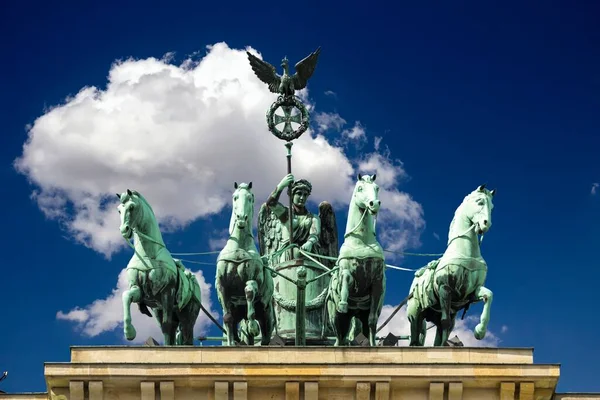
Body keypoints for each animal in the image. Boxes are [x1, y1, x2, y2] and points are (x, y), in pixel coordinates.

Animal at [116, 189, 202, 346]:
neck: (148, 255)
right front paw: (129, 332)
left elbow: (167, 326)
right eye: (119, 210)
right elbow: (126, 296)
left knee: (185, 334)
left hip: (187, 316)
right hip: (161, 311)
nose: (124, 230)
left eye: (132, 207)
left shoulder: (167, 292)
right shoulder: (140, 292)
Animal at [216, 183, 274, 346]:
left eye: (250, 198)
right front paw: (231, 344)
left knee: (265, 337)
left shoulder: (254, 279)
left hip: (267, 316)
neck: (239, 247)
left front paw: (253, 325)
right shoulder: (222, 286)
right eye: (235, 197)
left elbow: (249, 291)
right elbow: (227, 318)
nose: (241, 218)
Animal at [328, 173, 384, 346]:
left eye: (377, 188)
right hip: (336, 318)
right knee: (339, 337)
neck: (362, 241)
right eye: (360, 188)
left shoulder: (377, 283)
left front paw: (373, 346)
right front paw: (343, 302)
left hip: (360, 317)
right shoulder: (346, 272)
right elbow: (346, 277)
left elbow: (373, 322)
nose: (374, 204)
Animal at [408, 186, 496, 346]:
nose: (486, 224)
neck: (466, 252)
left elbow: (489, 295)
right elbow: (446, 322)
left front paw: (480, 331)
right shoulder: (445, 289)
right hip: (415, 314)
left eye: (492, 207)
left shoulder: (472, 291)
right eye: (479, 202)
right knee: (415, 337)